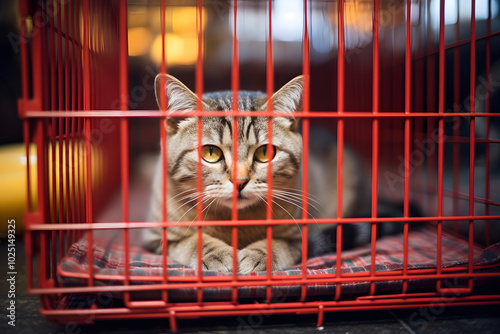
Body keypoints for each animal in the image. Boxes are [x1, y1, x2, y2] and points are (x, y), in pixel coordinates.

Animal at [141, 74, 368, 276]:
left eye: (264, 153)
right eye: (211, 153)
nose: (240, 181)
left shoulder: (297, 238)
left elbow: (277, 243)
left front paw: (259, 254)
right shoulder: (157, 237)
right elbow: (192, 240)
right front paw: (216, 253)